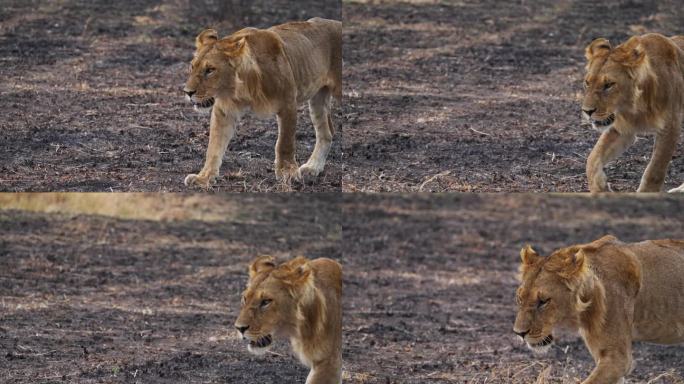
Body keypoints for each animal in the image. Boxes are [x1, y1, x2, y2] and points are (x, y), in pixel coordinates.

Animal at [182, 18, 342, 188]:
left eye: (210, 70)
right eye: (192, 66)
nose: (187, 92)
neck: (242, 87)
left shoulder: (288, 104)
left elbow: (284, 143)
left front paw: (288, 173)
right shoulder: (224, 111)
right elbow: (214, 147)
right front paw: (203, 177)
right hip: (318, 98)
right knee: (326, 132)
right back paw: (313, 168)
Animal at [584, 33, 684, 192]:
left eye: (609, 85)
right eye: (587, 83)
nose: (587, 111)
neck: (634, 109)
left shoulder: (670, 127)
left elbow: (655, 170)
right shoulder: (621, 130)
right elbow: (592, 159)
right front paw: (601, 189)